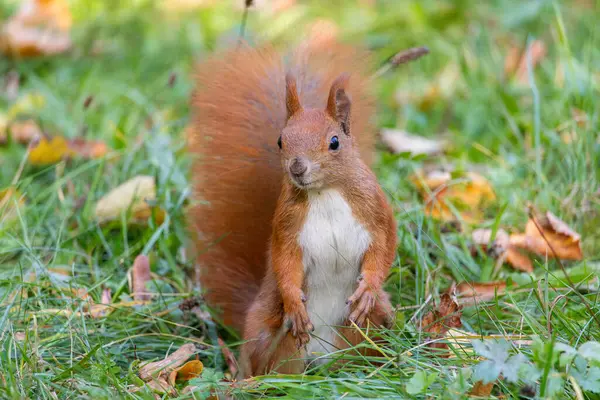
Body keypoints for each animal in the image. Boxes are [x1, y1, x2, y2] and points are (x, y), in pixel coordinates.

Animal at [190, 38, 396, 378]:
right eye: (280, 141)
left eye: (335, 142)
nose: (297, 168)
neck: (325, 193)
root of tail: (321, 359)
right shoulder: (287, 226)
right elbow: (284, 262)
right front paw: (295, 304)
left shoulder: (376, 212)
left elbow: (383, 249)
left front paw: (367, 288)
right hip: (272, 335)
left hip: (370, 327)